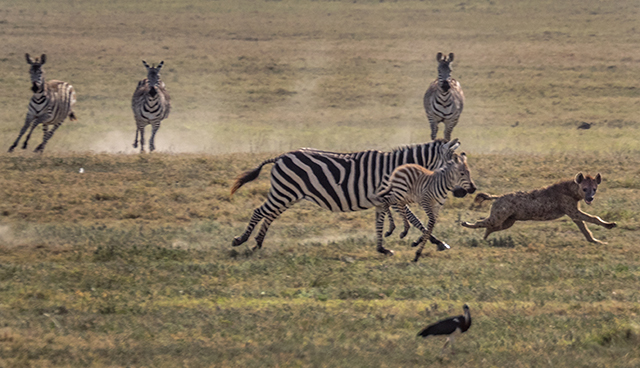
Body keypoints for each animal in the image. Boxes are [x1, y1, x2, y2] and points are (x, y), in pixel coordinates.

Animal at [232, 139, 462, 253]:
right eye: (455, 168)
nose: (461, 192)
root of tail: (280, 156)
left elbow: (404, 220)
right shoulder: (394, 196)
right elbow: (415, 219)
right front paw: (436, 241)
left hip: (287, 194)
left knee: (269, 215)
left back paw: (257, 243)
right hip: (284, 191)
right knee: (260, 211)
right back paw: (241, 240)